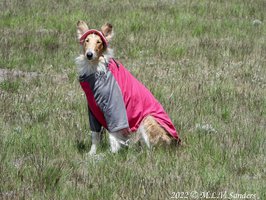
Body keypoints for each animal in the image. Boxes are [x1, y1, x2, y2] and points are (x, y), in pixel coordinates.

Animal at [74, 20, 181, 155]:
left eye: (99, 42)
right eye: (87, 40)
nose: (89, 54)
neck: (96, 68)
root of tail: (174, 143)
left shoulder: (115, 109)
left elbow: (113, 135)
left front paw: (110, 154)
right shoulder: (93, 111)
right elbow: (95, 135)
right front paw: (91, 153)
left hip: (147, 119)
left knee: (151, 150)